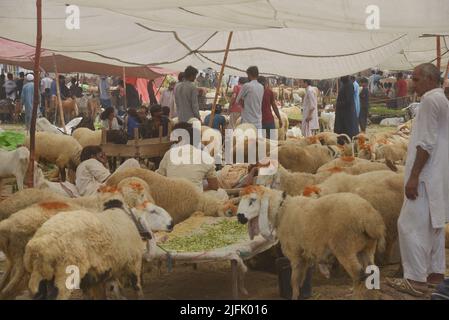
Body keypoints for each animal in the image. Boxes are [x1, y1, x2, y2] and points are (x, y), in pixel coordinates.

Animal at [234, 185, 384, 300]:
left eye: (253, 200)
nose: (239, 217)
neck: (282, 210)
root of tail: (369, 218)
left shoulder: (294, 254)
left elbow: (293, 281)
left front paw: (294, 297)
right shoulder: (304, 256)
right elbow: (301, 280)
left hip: (345, 247)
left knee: (358, 275)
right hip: (366, 248)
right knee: (372, 273)